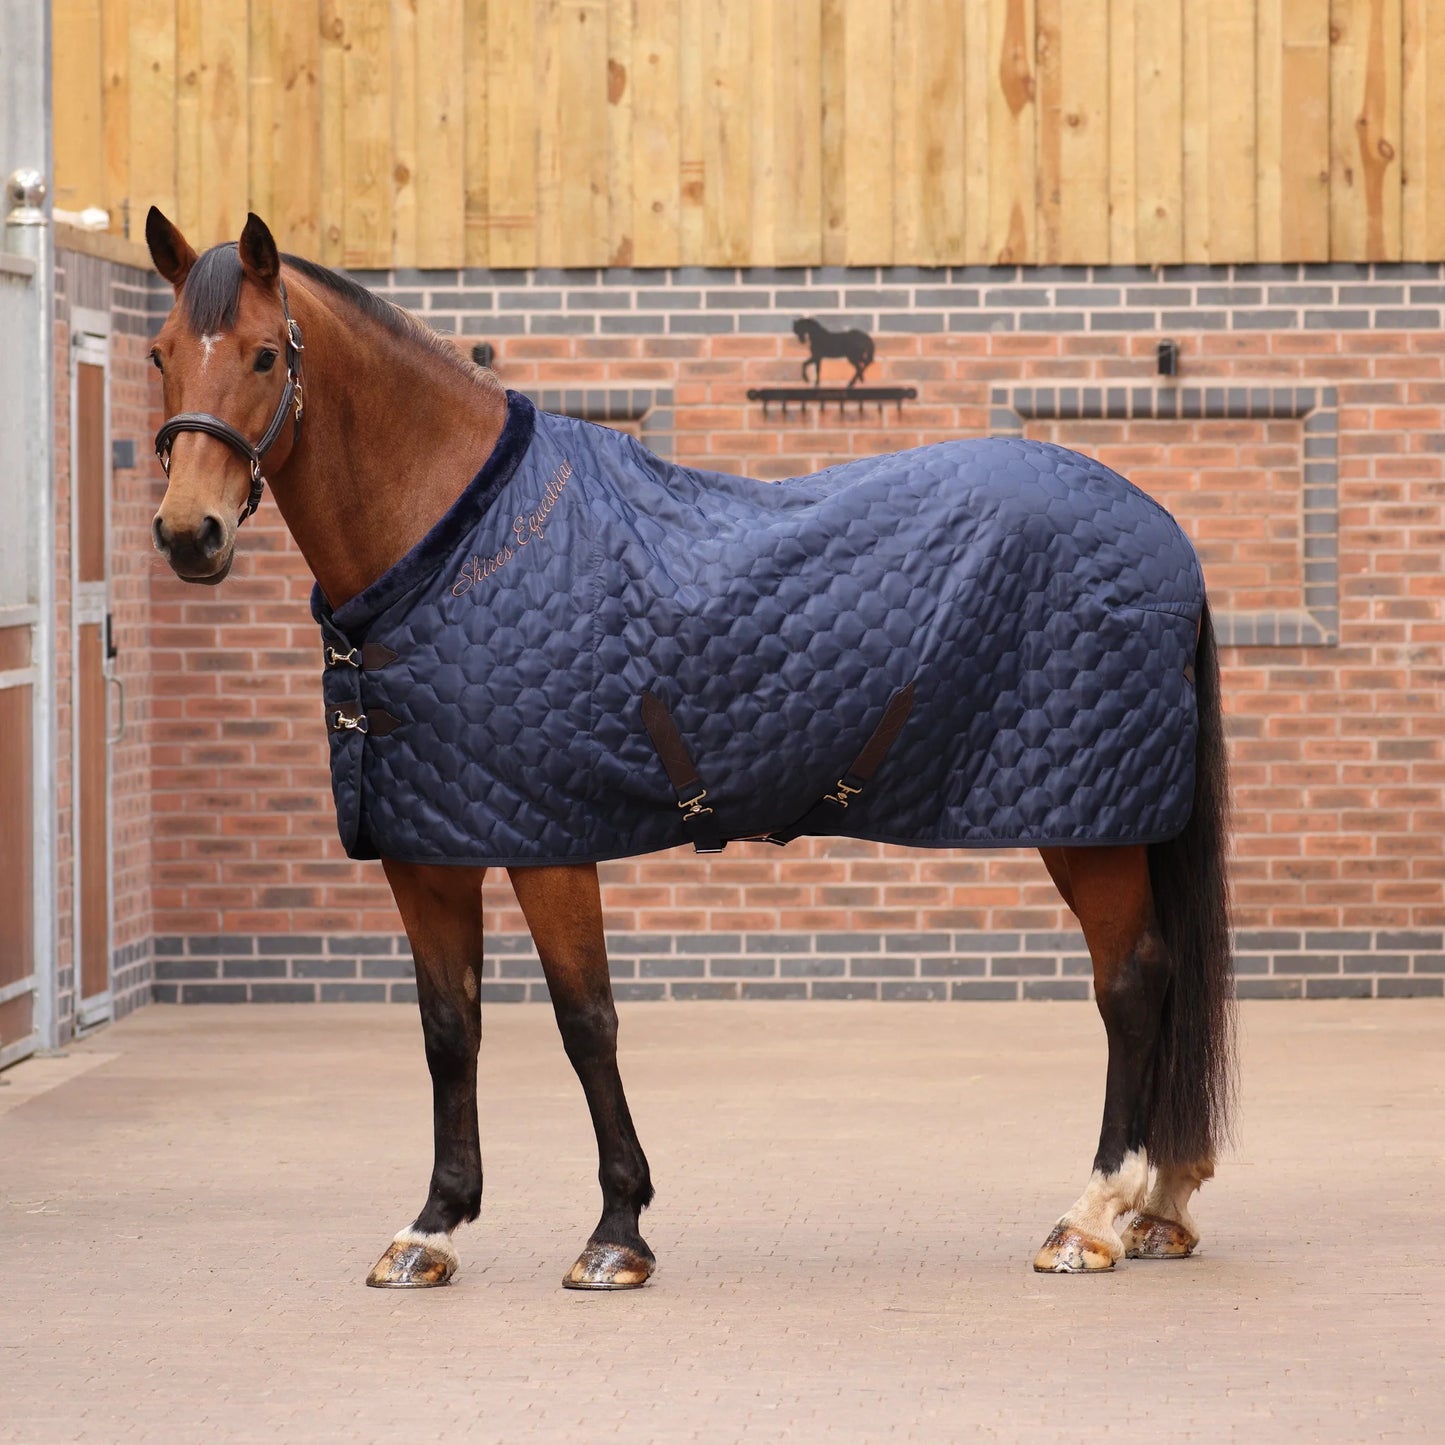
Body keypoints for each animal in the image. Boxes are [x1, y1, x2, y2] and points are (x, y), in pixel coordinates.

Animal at [144, 207, 1235, 1292]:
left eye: (262, 353)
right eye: (160, 354)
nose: (189, 533)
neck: (458, 549)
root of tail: (1163, 532)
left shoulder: (548, 843)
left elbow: (585, 1020)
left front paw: (615, 1228)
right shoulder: (427, 846)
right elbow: (449, 1030)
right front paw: (432, 1226)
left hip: (1085, 820)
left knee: (1130, 980)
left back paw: (1090, 1215)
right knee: (1156, 975)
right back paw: (1159, 1206)